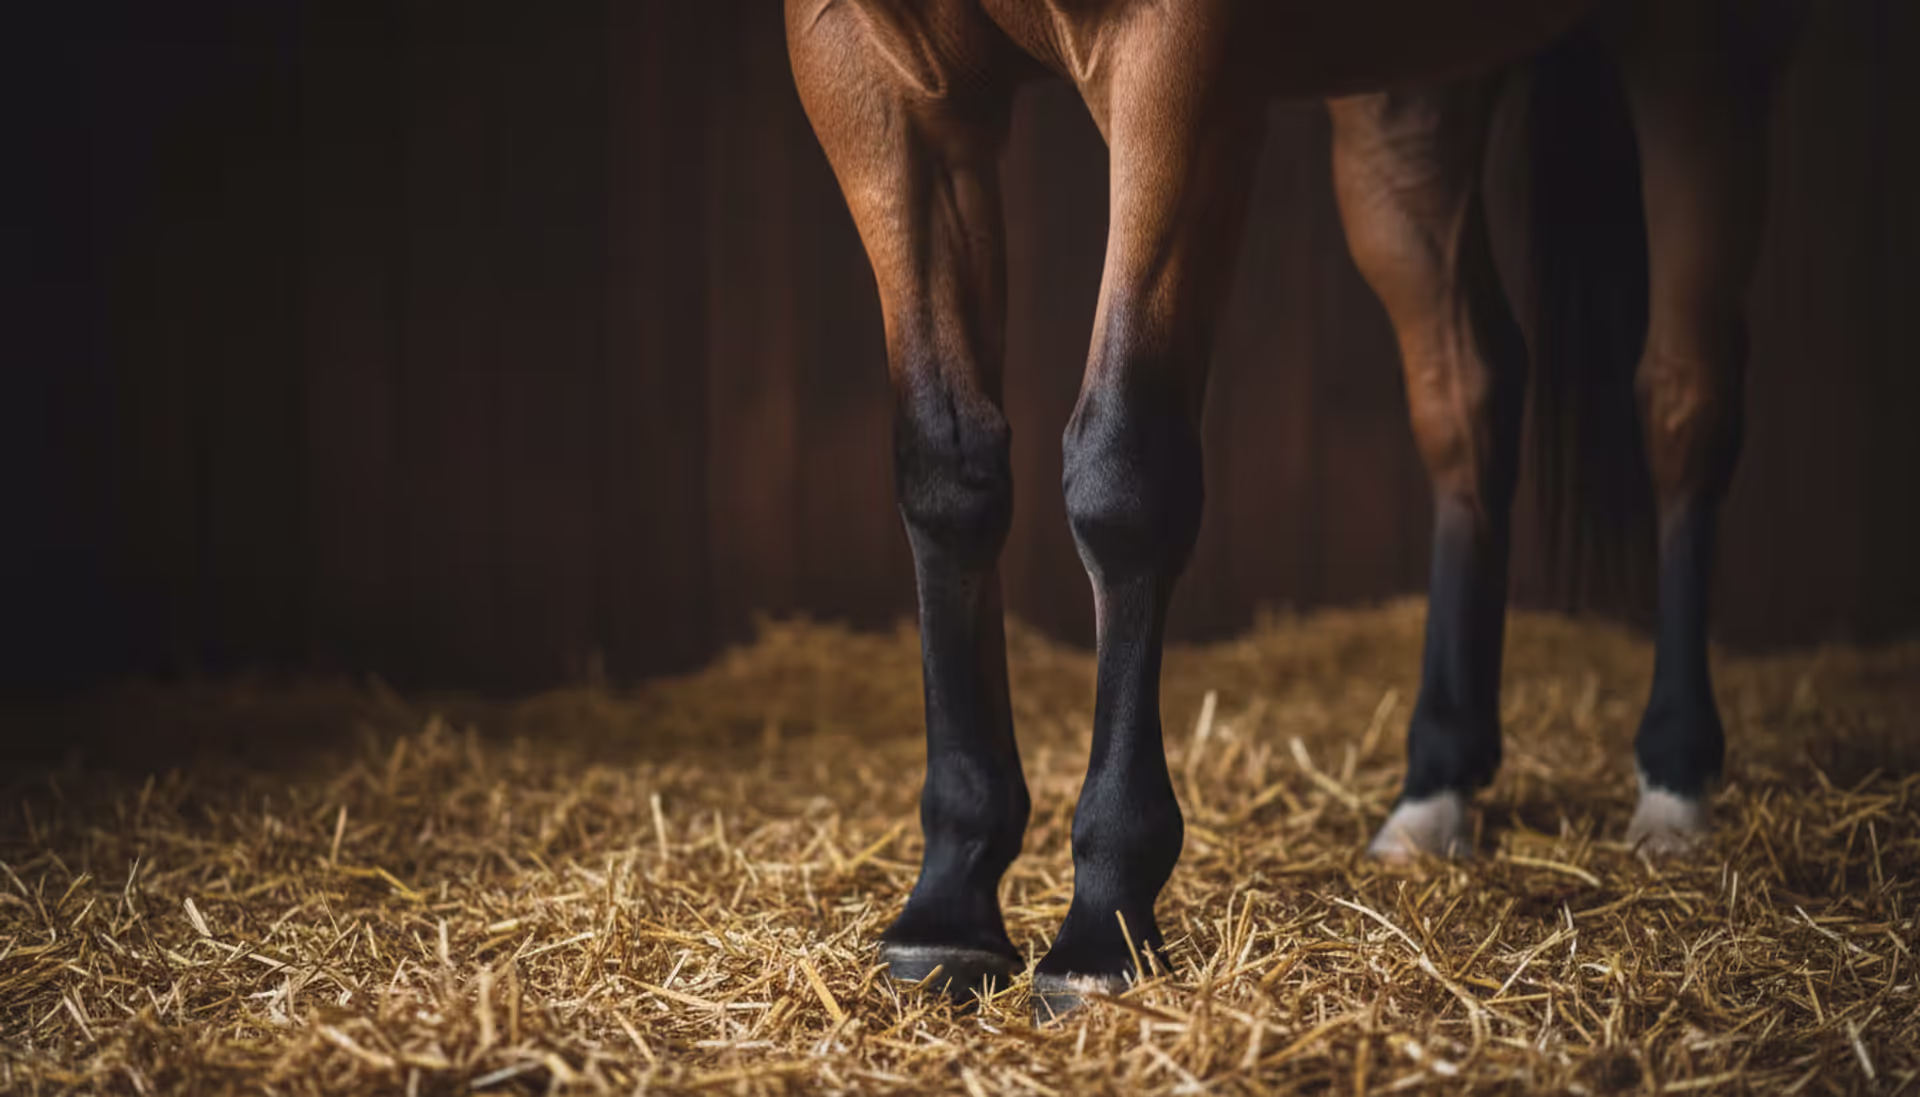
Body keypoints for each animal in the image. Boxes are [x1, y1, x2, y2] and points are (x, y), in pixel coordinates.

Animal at [784, 0, 1806, 1016]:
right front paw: (949, 902)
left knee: (1683, 398)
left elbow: (1122, 471)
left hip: (1697, 50)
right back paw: (1437, 781)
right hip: (1409, 105)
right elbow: (948, 472)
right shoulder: (867, 73)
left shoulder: (1180, 62)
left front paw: (1105, 916)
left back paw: (1676, 770)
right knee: (1469, 392)